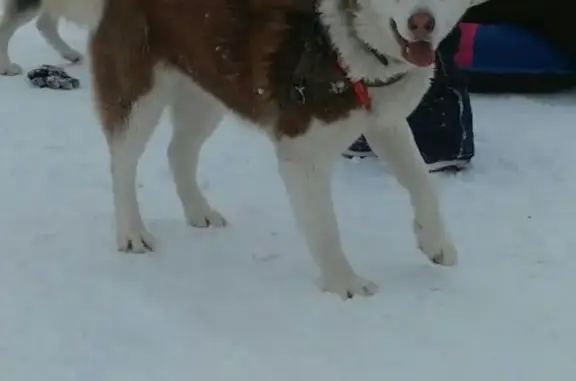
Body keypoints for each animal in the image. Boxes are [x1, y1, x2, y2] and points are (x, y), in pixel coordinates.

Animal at [51, 0, 488, 296]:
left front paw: (434, 241)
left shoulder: (385, 124)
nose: (421, 22)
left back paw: (198, 210)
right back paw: (132, 231)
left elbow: (423, 183)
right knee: (122, 163)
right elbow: (325, 227)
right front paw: (342, 282)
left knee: (178, 152)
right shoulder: (301, 153)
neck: (345, 47)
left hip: (209, 83)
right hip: (139, 92)